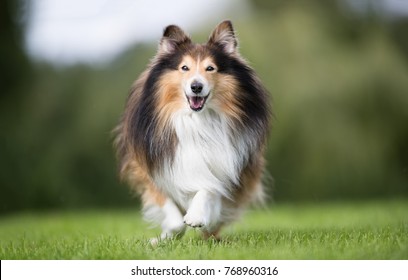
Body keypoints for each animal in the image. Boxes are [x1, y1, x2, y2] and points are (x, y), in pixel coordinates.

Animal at [114, 20, 270, 243]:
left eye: (210, 68)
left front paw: (197, 216)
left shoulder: (228, 162)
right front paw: (167, 236)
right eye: (184, 68)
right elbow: (174, 217)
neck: (195, 120)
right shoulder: (153, 166)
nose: (196, 86)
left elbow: (209, 187)